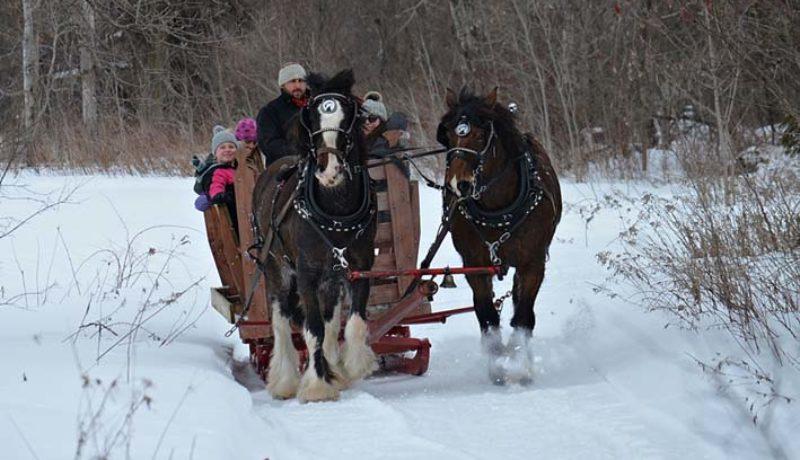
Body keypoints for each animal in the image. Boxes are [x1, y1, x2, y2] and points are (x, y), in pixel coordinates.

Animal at [252, 69, 377, 402]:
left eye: (348, 115)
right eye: (312, 116)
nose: (328, 170)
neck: (336, 209)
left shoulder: (360, 269)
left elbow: (352, 324)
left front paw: (351, 367)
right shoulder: (306, 274)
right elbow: (313, 330)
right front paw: (318, 385)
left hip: (330, 277)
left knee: (332, 321)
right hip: (277, 269)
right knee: (281, 319)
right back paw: (284, 381)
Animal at [437, 87, 562, 384]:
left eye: (481, 135)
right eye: (447, 133)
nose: (458, 184)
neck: (498, 209)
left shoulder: (532, 263)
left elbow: (524, 316)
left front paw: (521, 364)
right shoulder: (474, 265)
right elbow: (487, 316)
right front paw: (497, 365)